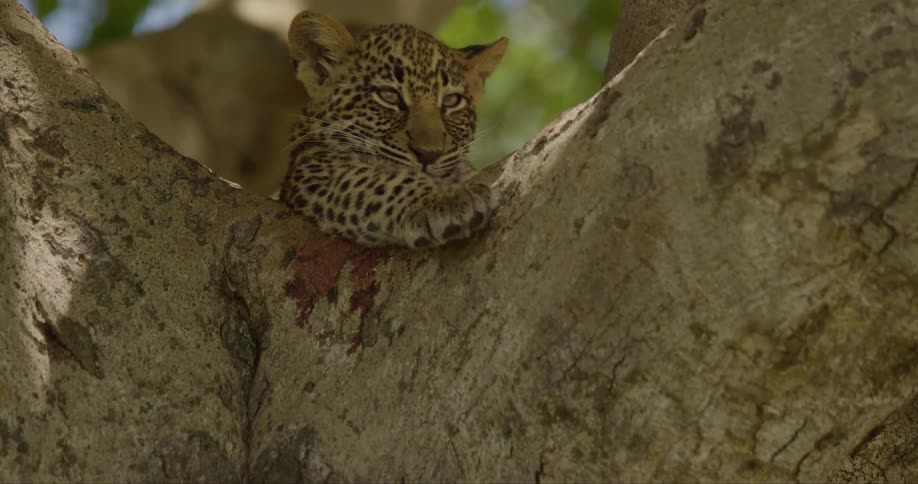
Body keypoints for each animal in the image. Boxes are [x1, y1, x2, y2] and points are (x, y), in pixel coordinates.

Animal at [279, 10, 507, 249]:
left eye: (451, 101)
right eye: (389, 96)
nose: (429, 154)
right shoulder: (312, 168)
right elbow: (379, 181)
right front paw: (442, 200)